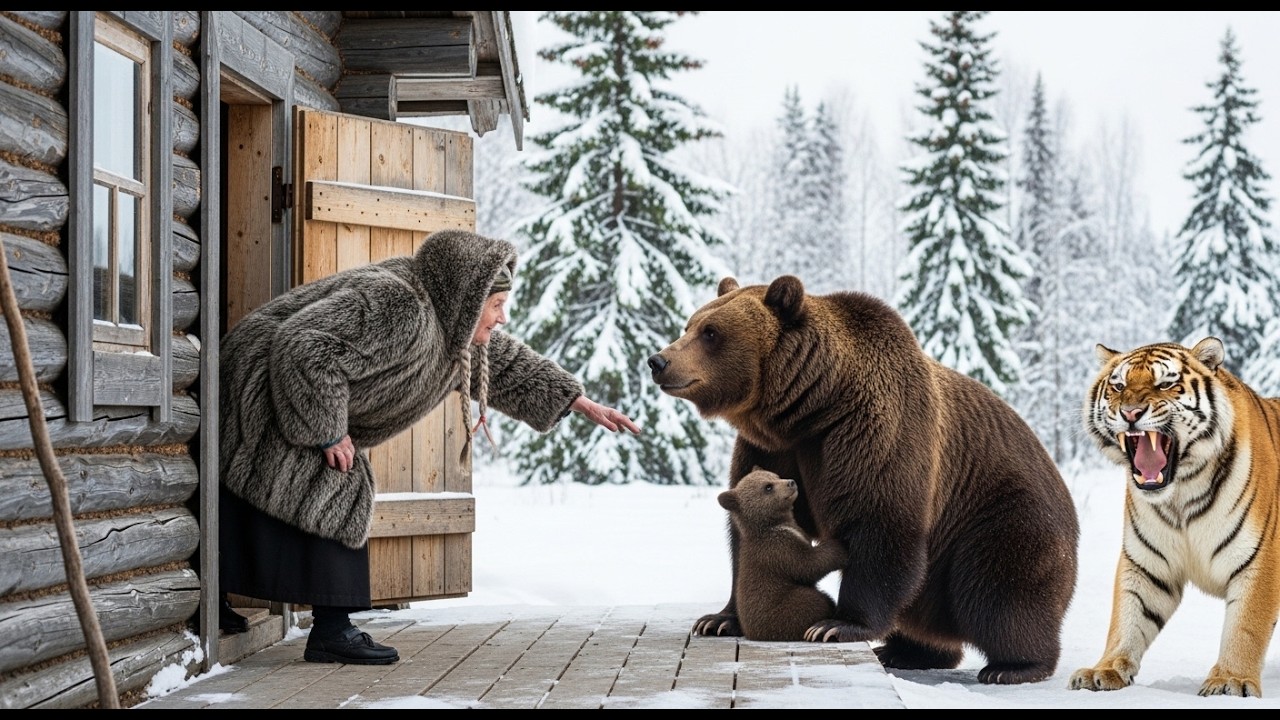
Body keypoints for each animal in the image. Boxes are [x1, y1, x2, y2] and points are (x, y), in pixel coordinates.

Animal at [717, 467, 847, 642]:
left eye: (775, 476)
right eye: (768, 487)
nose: (791, 482)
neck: (774, 524)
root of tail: (751, 633)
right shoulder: (778, 549)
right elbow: (807, 565)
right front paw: (839, 547)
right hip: (784, 609)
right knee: (813, 602)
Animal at [1068, 336, 1280, 698]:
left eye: (1165, 384)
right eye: (1118, 386)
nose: (1130, 413)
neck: (1181, 494)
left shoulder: (1260, 559)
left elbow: (1245, 627)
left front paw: (1230, 681)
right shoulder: (1146, 563)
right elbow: (1128, 617)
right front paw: (1104, 671)